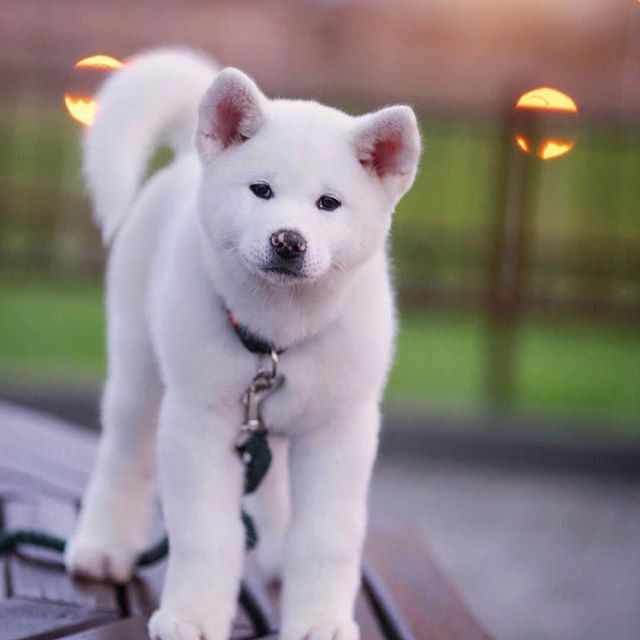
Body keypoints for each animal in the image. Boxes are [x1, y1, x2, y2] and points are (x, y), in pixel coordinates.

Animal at [66, 48, 420, 640]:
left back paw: (277, 553)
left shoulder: (340, 430)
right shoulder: (198, 423)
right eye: (261, 190)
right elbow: (207, 533)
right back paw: (103, 546)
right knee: (123, 457)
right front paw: (191, 616)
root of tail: (186, 161)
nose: (288, 240)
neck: (276, 338)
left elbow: (326, 538)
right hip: (139, 374)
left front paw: (320, 620)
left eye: (329, 203)